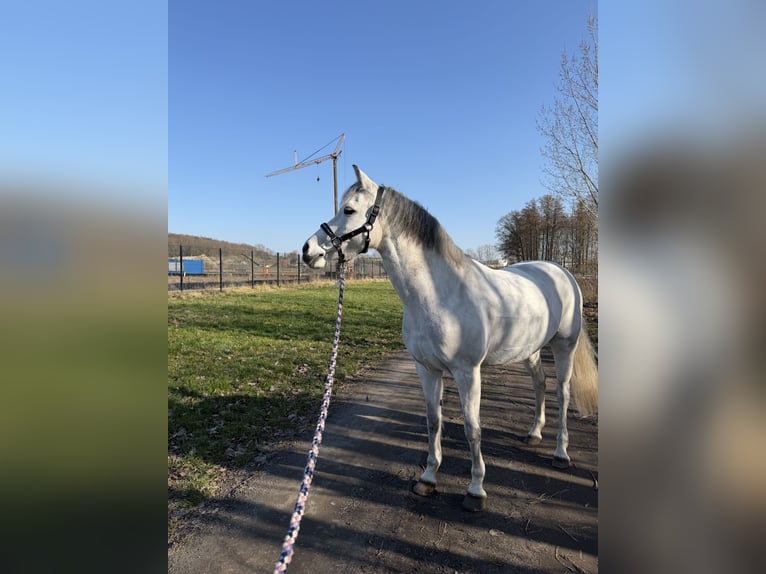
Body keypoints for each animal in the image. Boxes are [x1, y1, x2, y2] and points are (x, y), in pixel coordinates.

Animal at [302, 165, 598, 512]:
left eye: (348, 210)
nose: (308, 251)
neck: (439, 295)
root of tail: (561, 272)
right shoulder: (426, 369)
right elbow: (434, 421)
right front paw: (428, 478)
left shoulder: (467, 372)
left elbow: (472, 428)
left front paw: (476, 489)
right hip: (530, 350)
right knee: (540, 383)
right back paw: (534, 433)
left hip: (565, 346)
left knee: (562, 394)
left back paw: (560, 453)